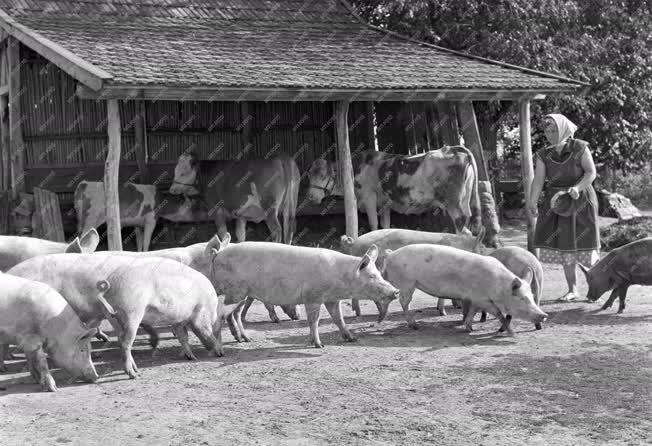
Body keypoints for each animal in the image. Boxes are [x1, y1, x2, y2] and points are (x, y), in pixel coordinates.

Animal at [73, 180, 208, 251]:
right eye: (198, 206)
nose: (207, 214)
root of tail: (85, 183)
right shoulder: (151, 221)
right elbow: (146, 242)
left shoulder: (137, 224)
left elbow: (139, 242)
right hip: (91, 218)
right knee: (84, 236)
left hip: (81, 220)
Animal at [168, 152, 300, 244]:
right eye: (175, 171)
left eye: (183, 173)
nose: (172, 189)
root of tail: (281, 157)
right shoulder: (241, 213)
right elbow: (240, 234)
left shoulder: (216, 209)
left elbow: (223, 233)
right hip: (290, 206)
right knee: (289, 229)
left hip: (269, 207)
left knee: (276, 230)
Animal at [308, 146, 482, 235]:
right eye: (309, 174)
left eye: (323, 175)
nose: (310, 196)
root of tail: (452, 149)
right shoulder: (384, 204)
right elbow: (385, 225)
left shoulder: (369, 198)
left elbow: (373, 224)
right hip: (464, 201)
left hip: (453, 203)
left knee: (460, 223)